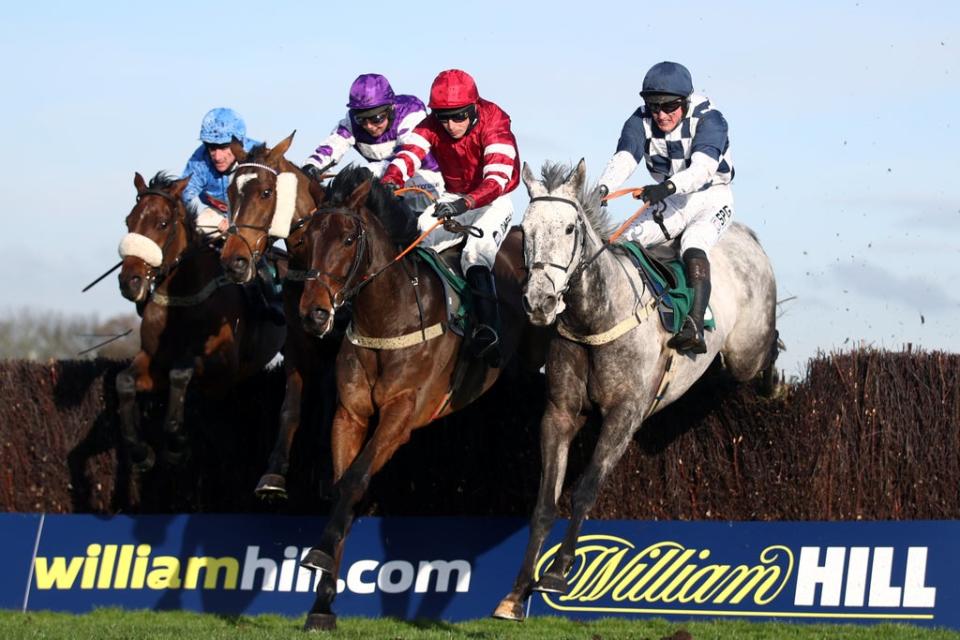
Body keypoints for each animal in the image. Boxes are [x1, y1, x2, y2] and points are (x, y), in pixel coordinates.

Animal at [116, 172, 284, 482]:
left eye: (162, 223)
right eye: (128, 221)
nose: (129, 281)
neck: (182, 301)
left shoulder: (223, 367)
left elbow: (181, 372)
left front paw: (176, 447)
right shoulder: (153, 358)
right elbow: (124, 381)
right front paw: (141, 451)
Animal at [219, 131, 344, 500]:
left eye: (266, 192)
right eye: (230, 192)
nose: (234, 261)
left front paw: (326, 471)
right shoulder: (297, 342)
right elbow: (290, 408)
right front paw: (273, 475)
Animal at [496, 159, 780, 620]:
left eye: (570, 228)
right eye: (526, 227)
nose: (540, 302)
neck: (595, 319)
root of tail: (744, 235)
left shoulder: (625, 415)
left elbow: (585, 489)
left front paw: (557, 572)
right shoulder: (559, 413)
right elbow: (544, 503)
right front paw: (516, 593)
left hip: (746, 349)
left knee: (762, 349)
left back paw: (774, 384)